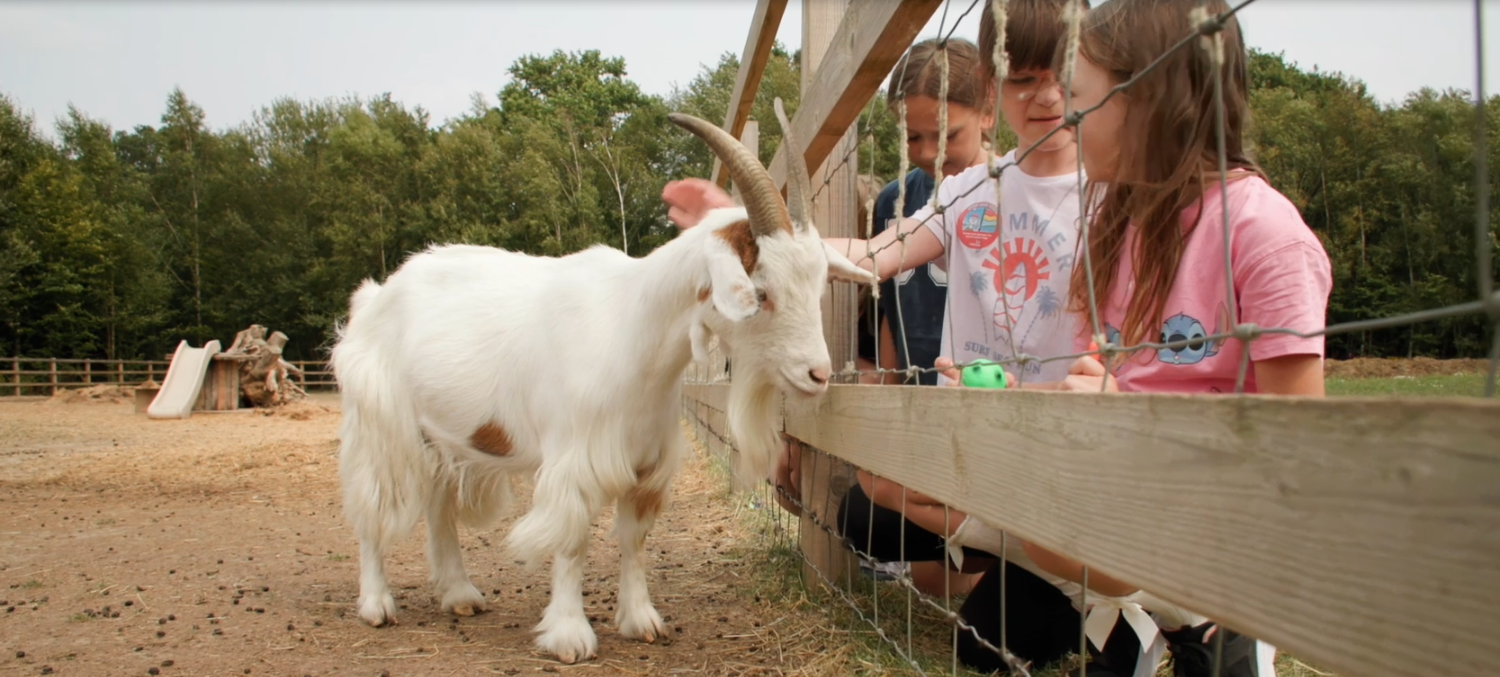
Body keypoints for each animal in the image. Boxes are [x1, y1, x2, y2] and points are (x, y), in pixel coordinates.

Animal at [328, 100, 870, 663]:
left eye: (817, 285)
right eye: (761, 293)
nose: (818, 374)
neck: (633, 329)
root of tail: (374, 298)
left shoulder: (646, 464)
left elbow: (634, 540)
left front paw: (641, 620)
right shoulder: (575, 461)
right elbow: (572, 542)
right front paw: (569, 635)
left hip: (438, 439)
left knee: (438, 508)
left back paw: (459, 594)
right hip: (380, 427)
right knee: (370, 510)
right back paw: (377, 604)